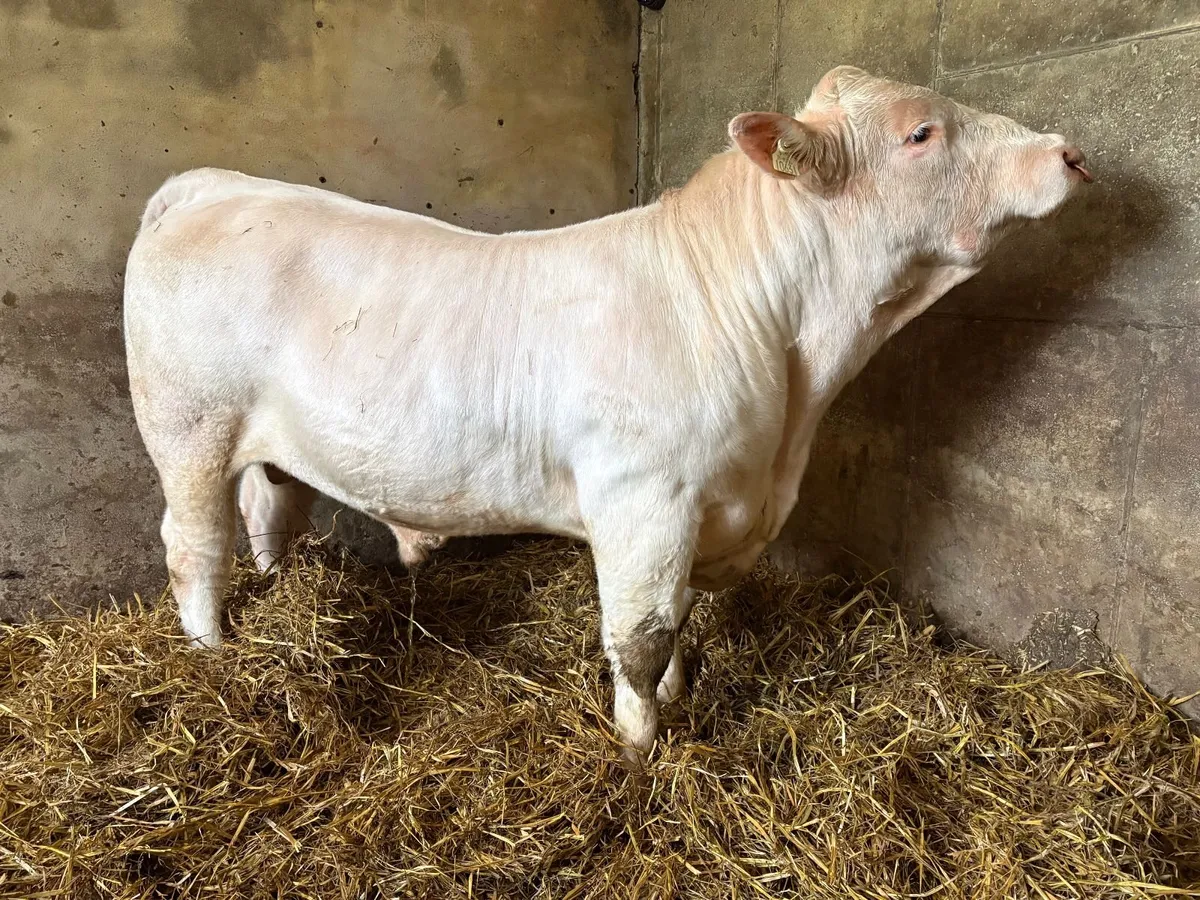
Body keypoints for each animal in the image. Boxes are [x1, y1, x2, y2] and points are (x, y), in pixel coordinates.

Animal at [123, 67, 1091, 769]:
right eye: (921, 133)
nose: (1071, 151)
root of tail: (213, 184)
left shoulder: (704, 507)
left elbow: (680, 622)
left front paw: (673, 703)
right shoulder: (644, 498)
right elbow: (642, 632)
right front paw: (638, 748)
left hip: (265, 443)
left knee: (267, 514)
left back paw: (276, 594)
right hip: (187, 426)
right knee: (193, 545)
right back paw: (213, 655)